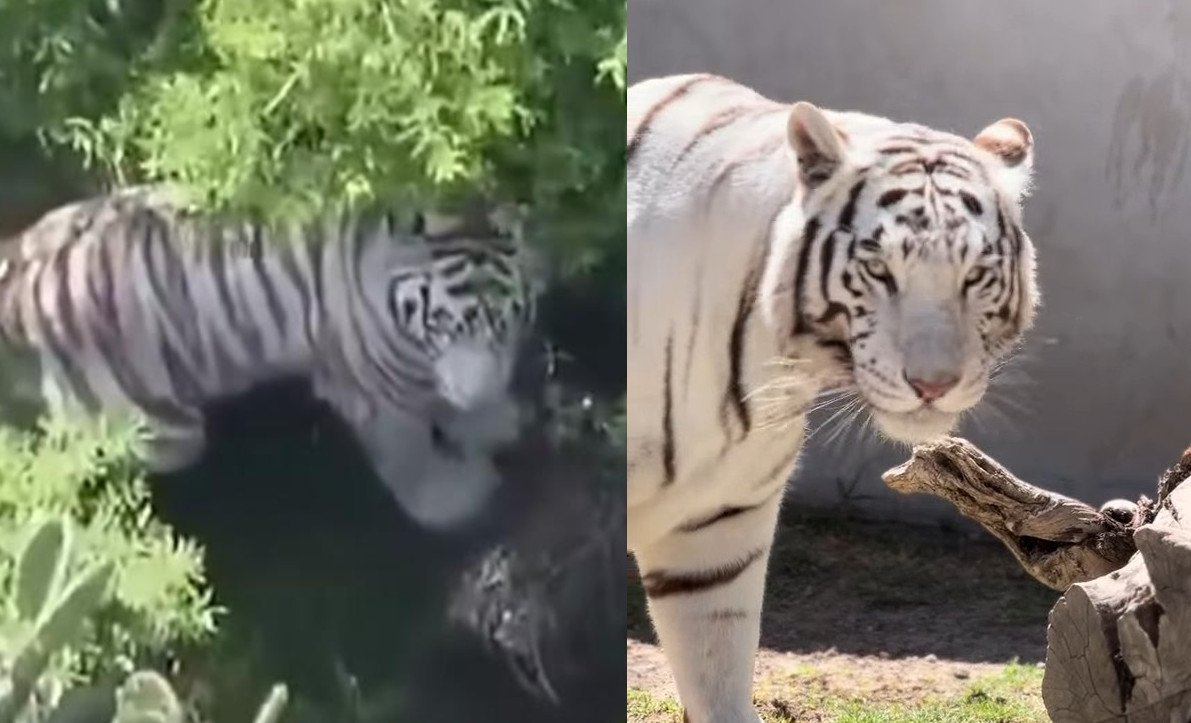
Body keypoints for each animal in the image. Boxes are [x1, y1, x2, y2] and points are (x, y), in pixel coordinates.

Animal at [0, 187, 537, 529]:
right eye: (442, 323)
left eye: (503, 322)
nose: (477, 394)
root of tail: (19, 282)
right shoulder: (375, 388)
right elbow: (411, 454)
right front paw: (455, 499)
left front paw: (490, 420)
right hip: (163, 433)